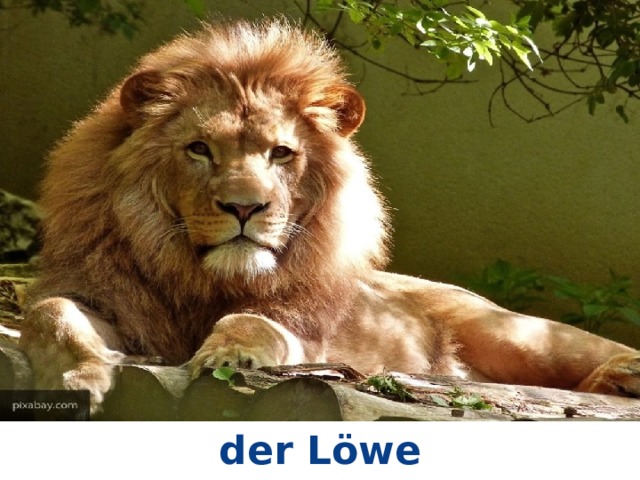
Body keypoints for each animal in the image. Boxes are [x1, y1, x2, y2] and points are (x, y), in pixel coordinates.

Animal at [20, 19, 640, 413]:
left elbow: (254, 322)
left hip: (517, 334)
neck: (202, 279)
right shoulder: (104, 297)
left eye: (281, 153)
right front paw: (80, 380)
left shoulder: (305, 337)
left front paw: (229, 354)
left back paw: (621, 375)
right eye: (199, 149)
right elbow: (50, 314)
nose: (245, 206)